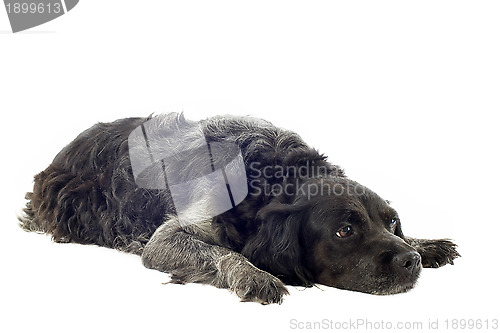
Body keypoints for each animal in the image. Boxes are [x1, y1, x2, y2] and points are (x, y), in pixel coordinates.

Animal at [19, 113, 458, 304]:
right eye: (344, 231)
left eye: (393, 222)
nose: (409, 262)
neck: (272, 174)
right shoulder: (164, 240)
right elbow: (224, 252)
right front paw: (255, 274)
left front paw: (427, 244)